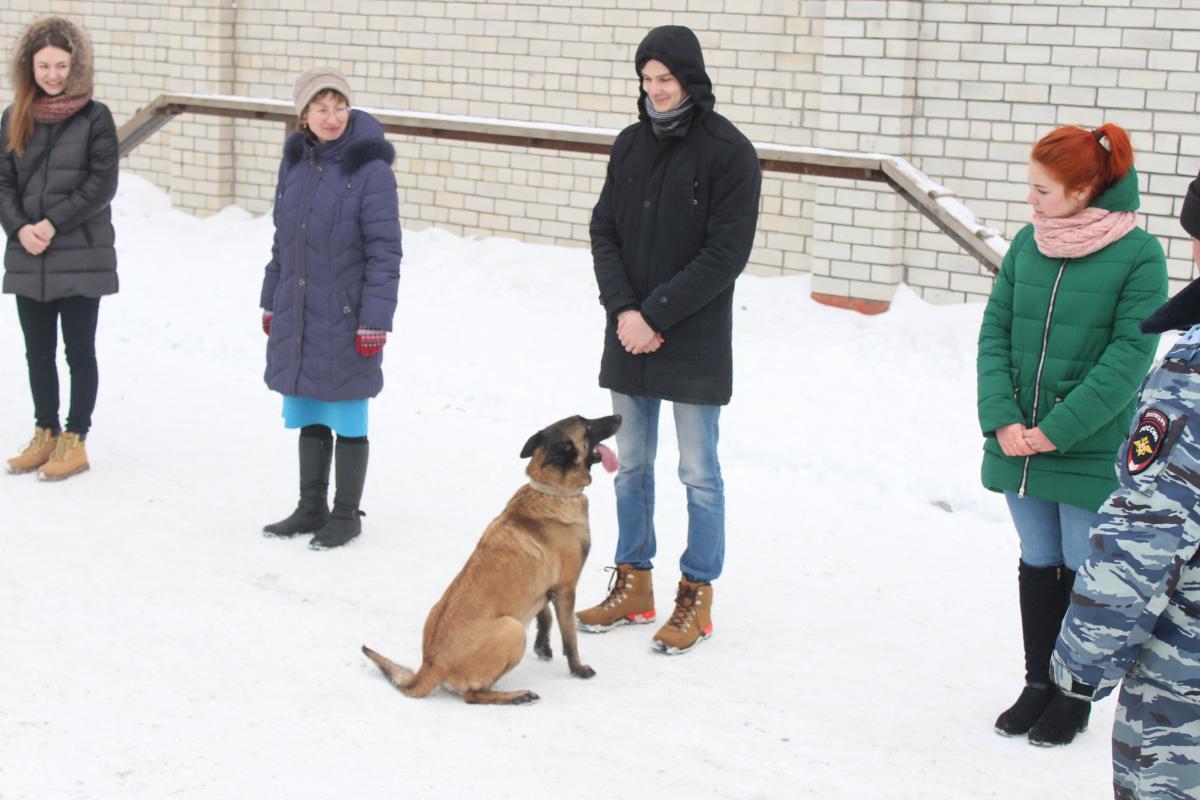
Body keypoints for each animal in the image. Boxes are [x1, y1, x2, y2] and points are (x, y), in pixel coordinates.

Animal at [357, 417, 619, 705]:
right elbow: (569, 635)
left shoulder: (543, 587)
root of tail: (431, 665)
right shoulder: (565, 588)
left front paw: (543, 645)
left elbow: (544, 614)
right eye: (588, 425)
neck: (551, 491)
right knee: (473, 695)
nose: (618, 418)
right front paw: (578, 668)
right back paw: (517, 695)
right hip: (513, 629)